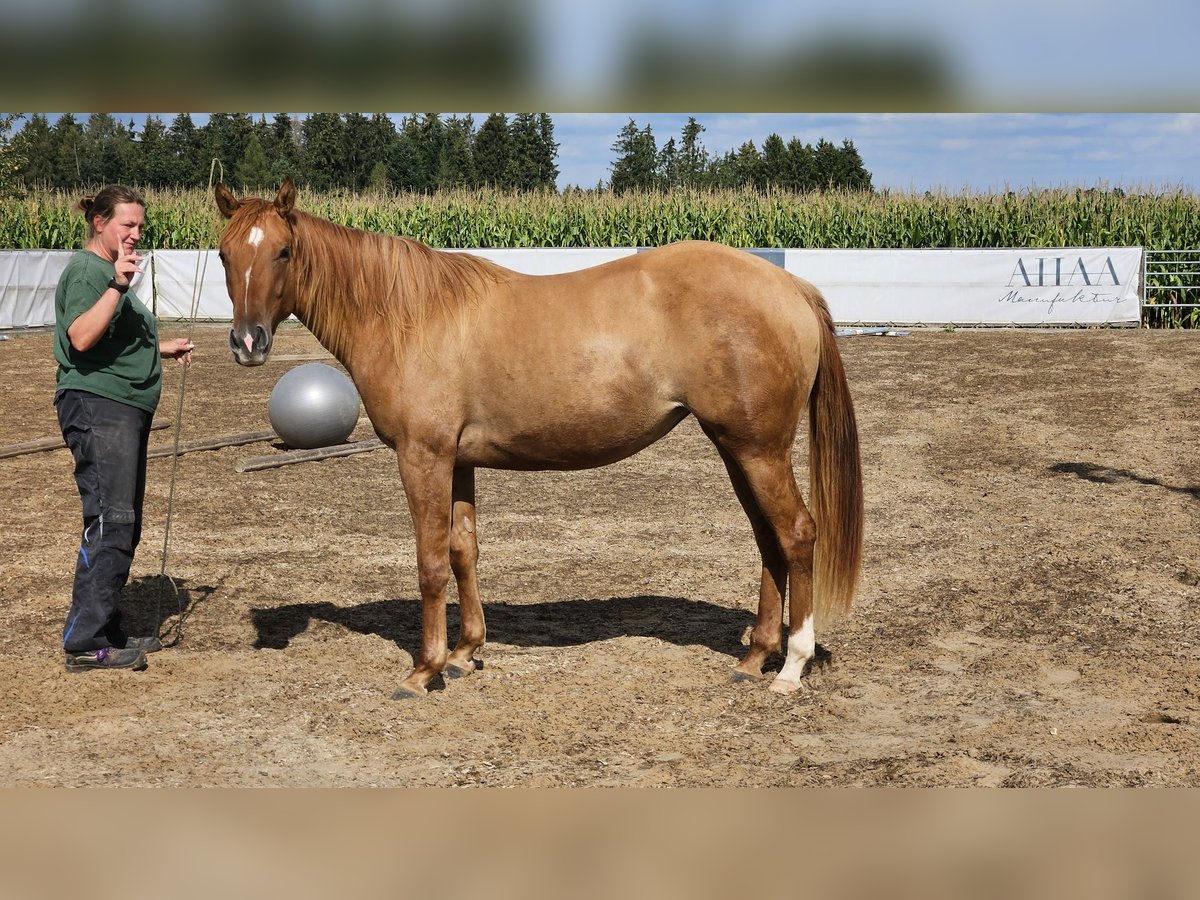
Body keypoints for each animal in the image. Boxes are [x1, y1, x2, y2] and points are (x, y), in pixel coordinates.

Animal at [216, 180, 864, 700]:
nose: (248, 343)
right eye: (224, 253)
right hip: (737, 447)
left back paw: (791, 666)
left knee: (797, 533)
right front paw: (465, 653)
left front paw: (425, 670)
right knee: (768, 539)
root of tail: (790, 286)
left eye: (282, 250)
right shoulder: (457, 460)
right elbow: (463, 550)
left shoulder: (422, 456)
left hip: (758, 450)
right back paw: (755, 655)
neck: (409, 316)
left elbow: (430, 561)